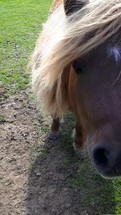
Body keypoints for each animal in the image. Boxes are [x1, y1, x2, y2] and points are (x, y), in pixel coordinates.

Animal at [31, 0, 121, 178]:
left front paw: (78, 146)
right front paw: (54, 131)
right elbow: (56, 113)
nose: (117, 158)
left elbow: (80, 126)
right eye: (76, 65)